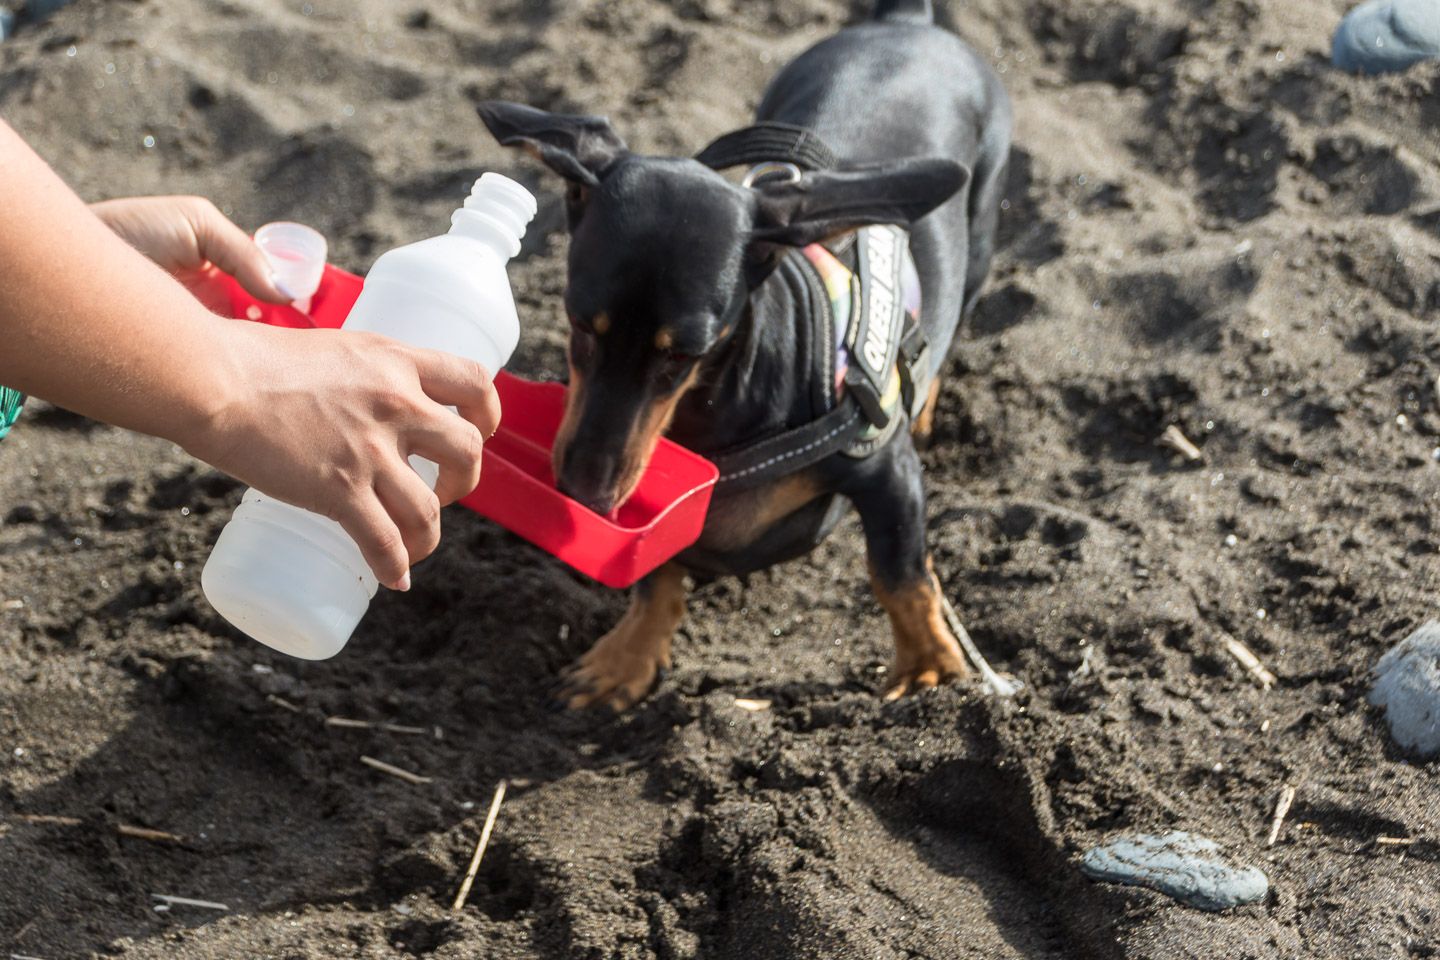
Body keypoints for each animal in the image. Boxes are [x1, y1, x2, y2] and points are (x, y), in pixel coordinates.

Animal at [478, 0, 1008, 705]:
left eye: (685, 353)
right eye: (579, 323)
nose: (585, 494)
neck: (715, 412)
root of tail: (907, 23)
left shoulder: (885, 467)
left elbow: (900, 572)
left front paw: (933, 672)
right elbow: (659, 573)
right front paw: (626, 658)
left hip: (980, 236)